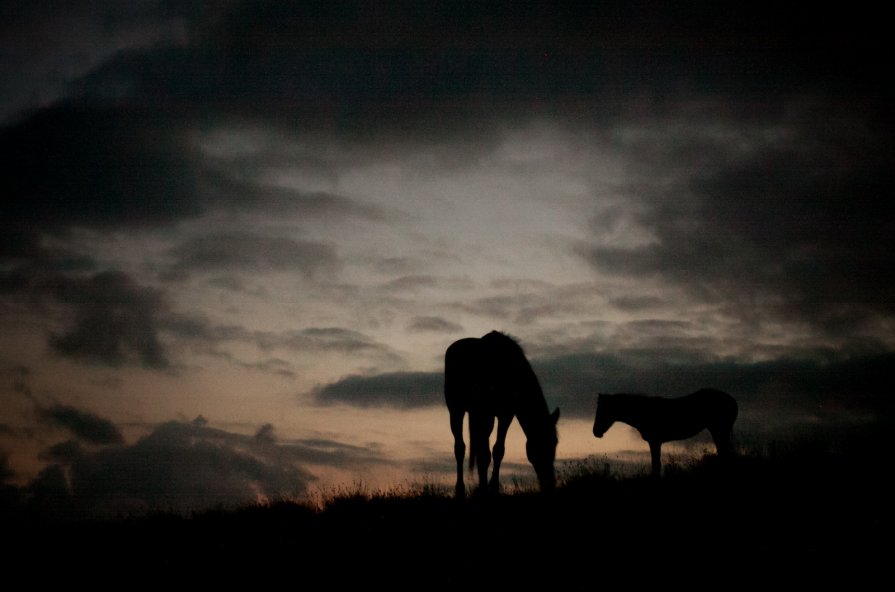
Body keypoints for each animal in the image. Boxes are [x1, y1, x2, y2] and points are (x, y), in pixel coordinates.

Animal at [446, 330, 560, 498]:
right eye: (540, 444)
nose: (549, 484)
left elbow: (498, 450)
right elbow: (484, 453)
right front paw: (485, 489)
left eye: (554, 443)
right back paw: (460, 489)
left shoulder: (506, 415)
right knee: (460, 448)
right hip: (457, 410)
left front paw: (492, 487)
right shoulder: (485, 413)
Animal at [596, 386, 736, 478]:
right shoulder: (656, 442)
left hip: (720, 430)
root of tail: (732, 400)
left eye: (602, 410)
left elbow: (656, 464)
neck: (643, 412)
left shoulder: (655, 441)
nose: (595, 432)